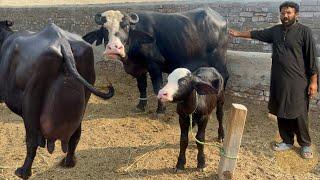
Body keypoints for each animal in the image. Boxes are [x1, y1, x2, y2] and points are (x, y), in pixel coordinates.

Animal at [0, 21, 114, 179]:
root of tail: (62, 42)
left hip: (31, 103)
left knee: (31, 141)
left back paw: (23, 172)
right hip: (84, 99)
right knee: (76, 135)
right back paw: (69, 162)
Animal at [82, 7, 228, 114]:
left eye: (126, 26)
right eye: (104, 29)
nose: (114, 48)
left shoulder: (154, 66)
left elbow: (157, 87)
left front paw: (160, 110)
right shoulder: (140, 68)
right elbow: (141, 86)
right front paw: (141, 106)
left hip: (219, 60)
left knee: (225, 76)